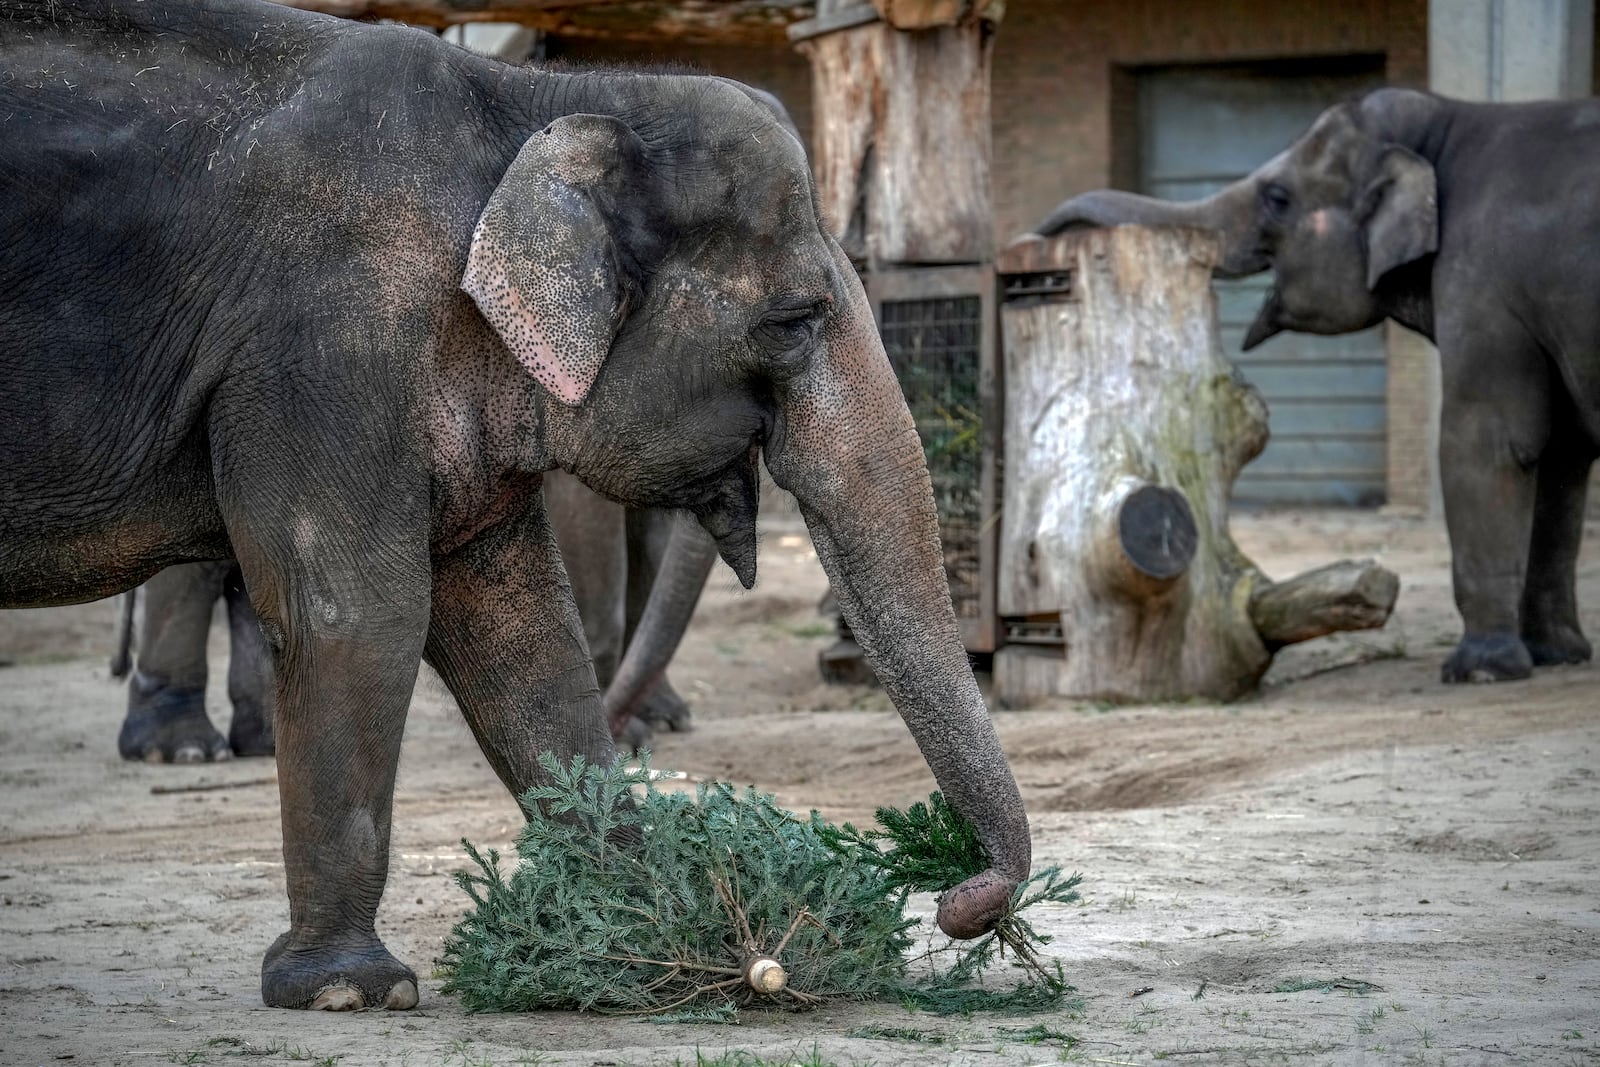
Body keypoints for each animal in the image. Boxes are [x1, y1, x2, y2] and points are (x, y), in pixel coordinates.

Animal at [1030, 85, 1600, 684]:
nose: (1039, 252)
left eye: (1278, 197)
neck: (1448, 120)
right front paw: (1556, 655)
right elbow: (1561, 456)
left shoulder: (1482, 288)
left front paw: (1479, 671)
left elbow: (1489, 442)